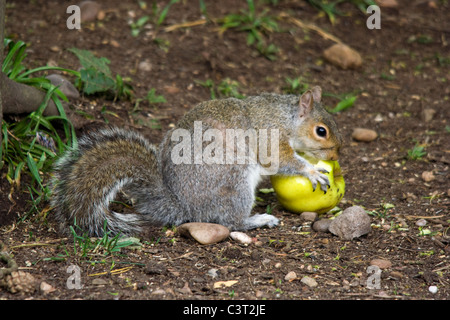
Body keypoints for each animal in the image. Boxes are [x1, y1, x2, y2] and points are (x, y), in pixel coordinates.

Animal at [51, 86, 342, 236]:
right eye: (321, 131)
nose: (334, 157)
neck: (285, 117)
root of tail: (183, 205)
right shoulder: (270, 137)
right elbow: (282, 160)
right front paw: (312, 171)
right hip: (234, 182)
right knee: (230, 222)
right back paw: (258, 220)